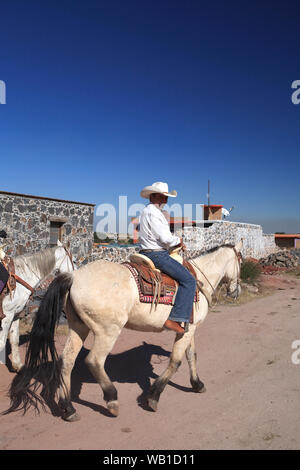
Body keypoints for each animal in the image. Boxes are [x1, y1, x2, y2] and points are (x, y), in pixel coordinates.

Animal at [0, 242, 74, 370]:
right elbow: (1, 343)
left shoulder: (15, 314)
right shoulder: (7, 316)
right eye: (73, 260)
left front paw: (17, 365)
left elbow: (14, 340)